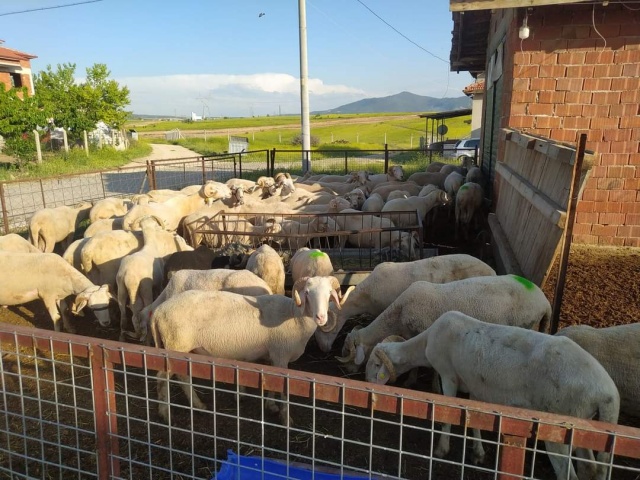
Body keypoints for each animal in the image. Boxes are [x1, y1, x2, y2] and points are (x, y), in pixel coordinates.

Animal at [151, 274, 350, 424]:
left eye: (329, 293)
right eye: (307, 293)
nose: (321, 317)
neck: (295, 317)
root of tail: (158, 311)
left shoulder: (272, 356)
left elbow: (272, 382)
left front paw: (271, 406)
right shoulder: (280, 356)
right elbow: (284, 389)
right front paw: (286, 420)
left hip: (182, 349)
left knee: (183, 377)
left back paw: (198, 406)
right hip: (175, 345)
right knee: (162, 378)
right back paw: (165, 414)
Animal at [424, 312, 620, 480]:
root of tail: (607, 394)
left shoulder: (448, 375)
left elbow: (447, 414)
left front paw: (441, 449)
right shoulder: (476, 386)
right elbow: (475, 419)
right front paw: (478, 453)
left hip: (562, 422)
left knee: (568, 474)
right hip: (586, 425)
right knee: (591, 467)